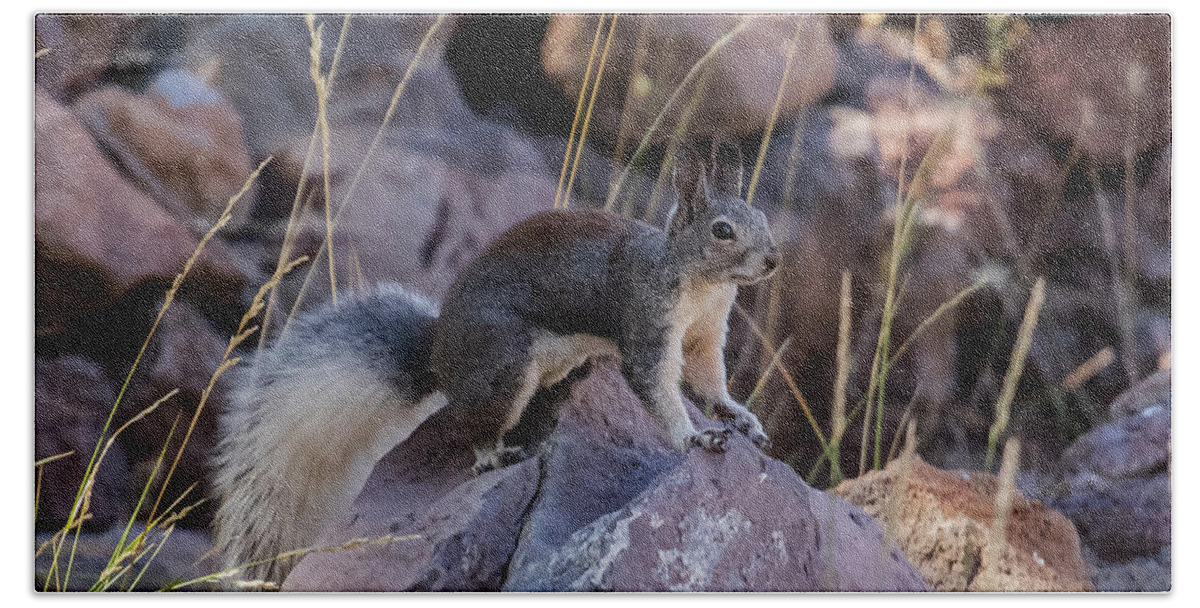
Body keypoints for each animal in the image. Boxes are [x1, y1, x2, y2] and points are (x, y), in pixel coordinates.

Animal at [212, 145, 782, 587]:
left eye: (761, 220)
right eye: (723, 230)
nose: (773, 260)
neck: (699, 282)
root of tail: (439, 355)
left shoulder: (706, 333)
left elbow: (710, 382)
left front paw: (739, 416)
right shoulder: (646, 319)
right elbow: (656, 386)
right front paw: (694, 436)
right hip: (506, 364)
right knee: (475, 430)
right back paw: (495, 453)